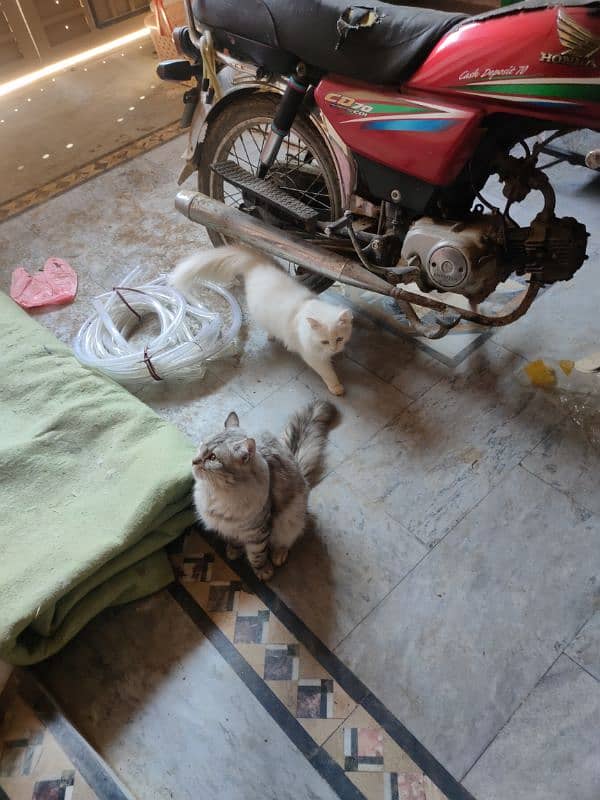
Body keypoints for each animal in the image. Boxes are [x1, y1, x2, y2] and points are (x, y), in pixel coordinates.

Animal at [170, 244, 352, 394]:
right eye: (325, 342)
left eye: (339, 339)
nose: (335, 349)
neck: (303, 308)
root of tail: (257, 264)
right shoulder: (312, 356)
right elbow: (328, 373)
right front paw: (336, 387)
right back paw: (272, 336)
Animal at [191, 404, 336, 580]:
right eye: (202, 446)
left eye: (213, 457)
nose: (194, 461)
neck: (216, 493)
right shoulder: (230, 528)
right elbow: (235, 541)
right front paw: (233, 551)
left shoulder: (257, 532)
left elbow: (257, 555)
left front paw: (263, 571)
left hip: (291, 518)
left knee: (286, 541)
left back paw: (278, 555)